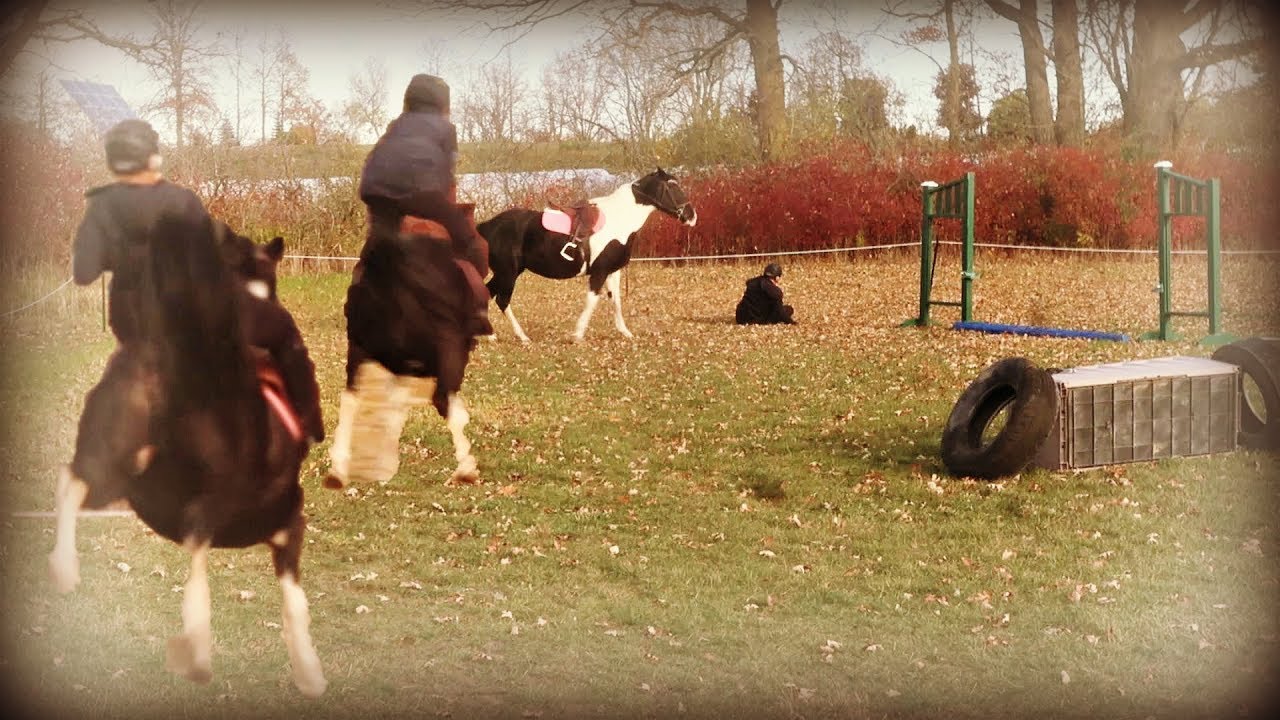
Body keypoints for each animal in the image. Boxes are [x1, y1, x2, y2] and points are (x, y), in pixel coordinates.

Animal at [47, 219, 327, 697]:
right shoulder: (287, 521)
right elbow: (295, 603)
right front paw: (310, 673)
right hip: (202, 493)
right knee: (196, 541)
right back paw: (195, 648)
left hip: (119, 469)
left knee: (74, 481)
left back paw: (64, 569)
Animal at [324, 203, 488, 488]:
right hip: (449, 351)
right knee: (442, 399)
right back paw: (466, 468)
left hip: (359, 350)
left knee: (351, 398)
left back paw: (339, 469)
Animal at [476, 167, 697, 342]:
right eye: (672, 187)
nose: (691, 216)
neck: (619, 218)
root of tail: (486, 226)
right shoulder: (599, 272)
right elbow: (592, 301)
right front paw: (578, 334)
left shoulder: (613, 272)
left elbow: (616, 301)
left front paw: (625, 332)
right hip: (508, 273)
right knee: (501, 300)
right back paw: (521, 336)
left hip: (507, 273)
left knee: (489, 293)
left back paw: (491, 335)